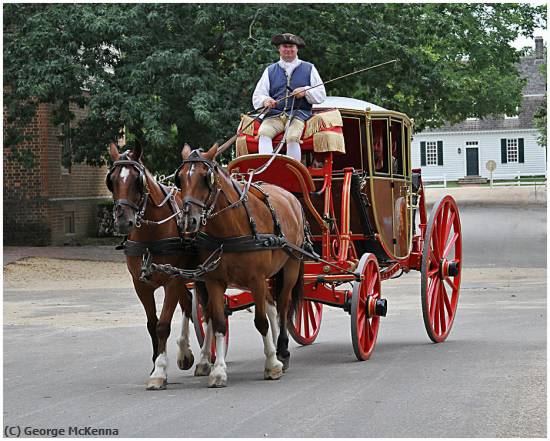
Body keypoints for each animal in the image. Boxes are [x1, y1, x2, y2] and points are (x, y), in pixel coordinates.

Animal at [106, 142, 197, 388]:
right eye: (112, 181)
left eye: (137, 181)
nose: (122, 222)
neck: (151, 234)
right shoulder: (141, 285)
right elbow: (151, 325)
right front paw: (156, 364)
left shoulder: (172, 280)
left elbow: (162, 325)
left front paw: (160, 372)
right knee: (189, 303)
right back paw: (185, 355)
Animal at [176, 144, 306, 384]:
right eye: (179, 179)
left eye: (206, 178)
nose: (189, 220)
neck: (229, 229)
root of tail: (290, 197)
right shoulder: (213, 281)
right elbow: (217, 321)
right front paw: (218, 370)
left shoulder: (256, 279)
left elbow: (261, 321)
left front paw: (272, 365)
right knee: (271, 304)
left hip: (291, 266)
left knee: (282, 306)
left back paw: (282, 351)